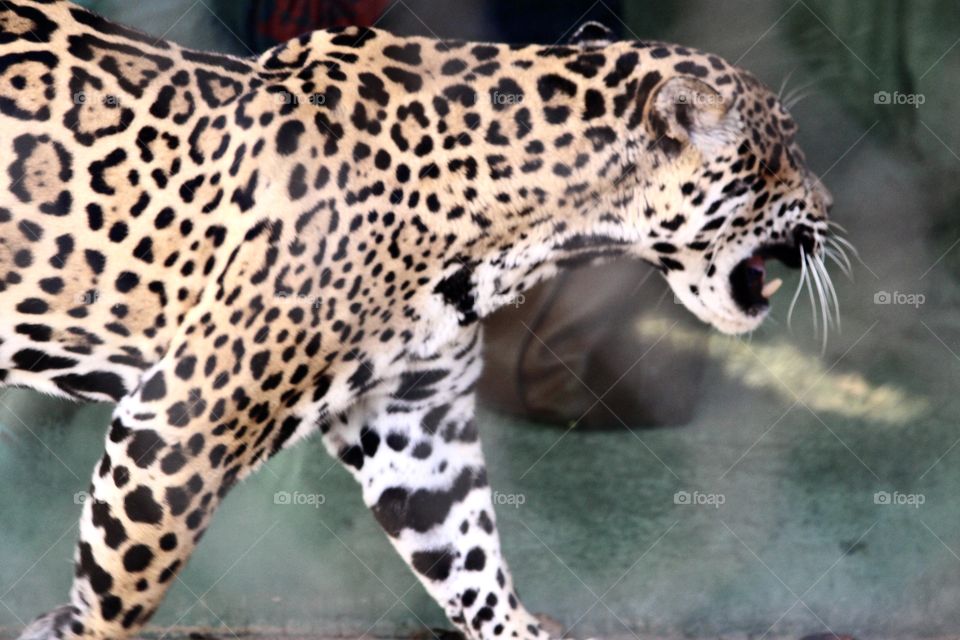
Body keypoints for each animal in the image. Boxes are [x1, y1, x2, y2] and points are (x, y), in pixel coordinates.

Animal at [0, 2, 834, 639]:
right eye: (788, 146)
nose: (829, 210)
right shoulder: (182, 425)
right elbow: (117, 594)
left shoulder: (414, 423)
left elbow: (470, 556)